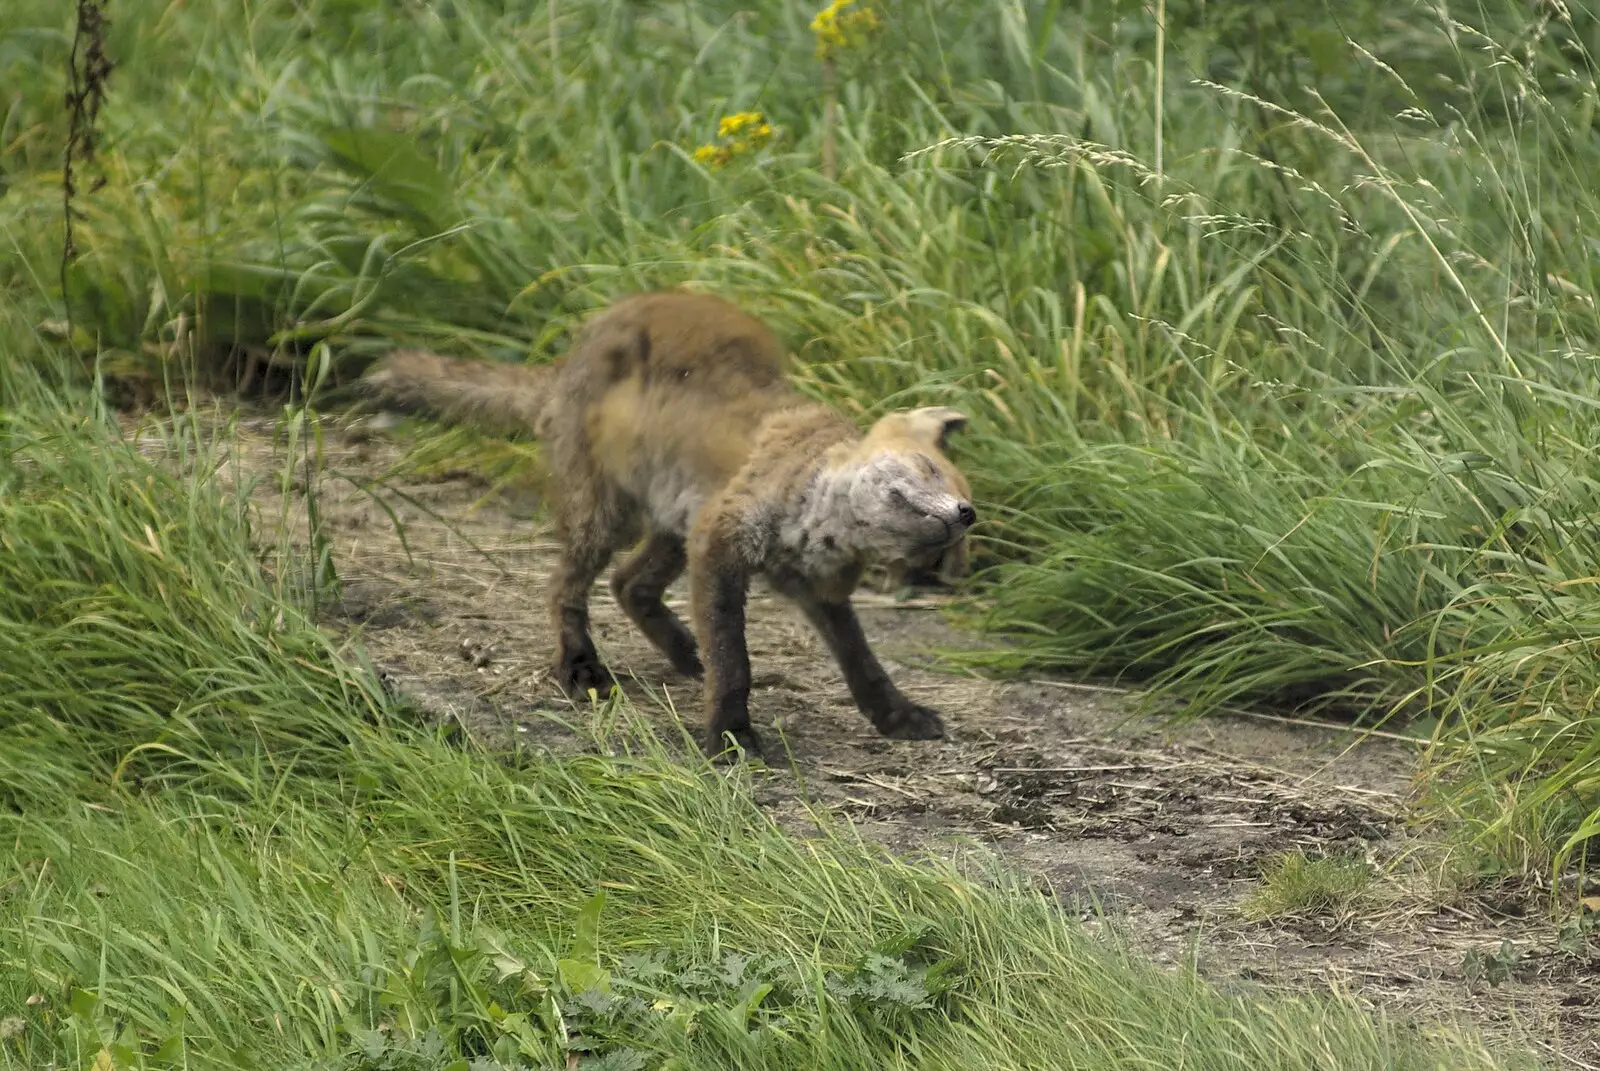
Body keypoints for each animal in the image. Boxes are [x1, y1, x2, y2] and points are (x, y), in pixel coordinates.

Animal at [361, 286, 972, 752]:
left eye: (967, 514)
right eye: (930, 470)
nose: (965, 513)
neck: (813, 528)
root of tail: (573, 355)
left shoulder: (811, 589)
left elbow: (862, 661)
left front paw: (896, 715)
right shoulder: (721, 544)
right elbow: (735, 663)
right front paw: (730, 736)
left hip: (675, 525)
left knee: (627, 584)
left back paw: (681, 651)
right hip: (611, 519)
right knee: (566, 587)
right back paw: (580, 665)